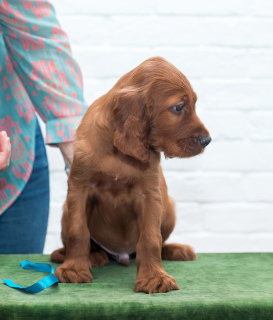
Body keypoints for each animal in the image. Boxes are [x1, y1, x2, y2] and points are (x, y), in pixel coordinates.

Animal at [50, 56, 210, 294]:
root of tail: (122, 255)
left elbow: (151, 238)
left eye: (194, 105)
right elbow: (78, 231)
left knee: (160, 242)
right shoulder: (79, 187)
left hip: (169, 207)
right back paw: (89, 256)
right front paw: (74, 269)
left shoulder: (150, 194)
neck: (119, 154)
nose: (207, 140)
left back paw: (176, 249)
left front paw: (154, 277)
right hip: (64, 210)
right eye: (178, 107)